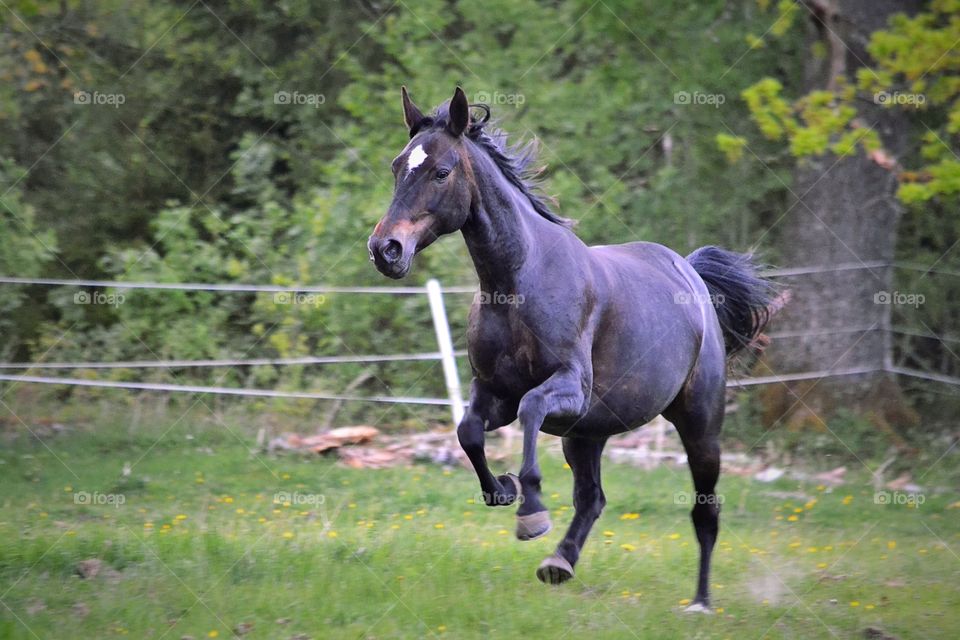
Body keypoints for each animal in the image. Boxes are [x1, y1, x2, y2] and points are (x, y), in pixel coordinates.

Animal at [368, 86, 777, 612]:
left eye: (441, 171)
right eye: (398, 165)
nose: (386, 250)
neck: (517, 282)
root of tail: (691, 274)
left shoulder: (567, 388)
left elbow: (530, 408)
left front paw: (530, 511)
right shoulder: (494, 392)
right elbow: (469, 432)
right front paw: (503, 491)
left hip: (699, 427)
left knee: (705, 511)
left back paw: (701, 603)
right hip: (586, 434)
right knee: (592, 498)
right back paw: (559, 563)